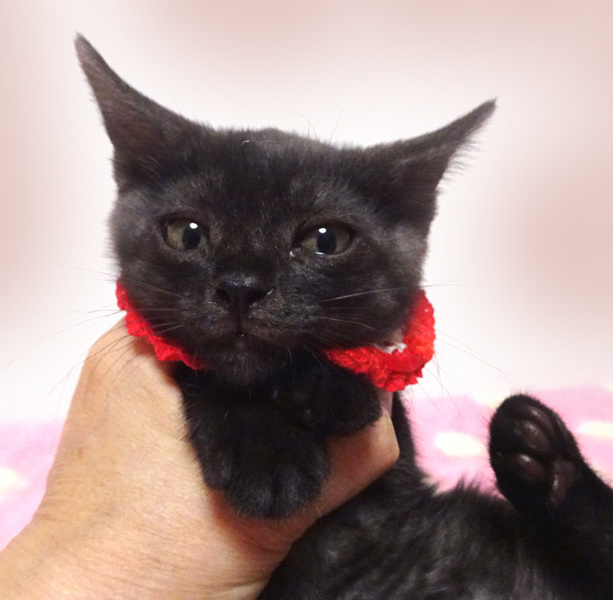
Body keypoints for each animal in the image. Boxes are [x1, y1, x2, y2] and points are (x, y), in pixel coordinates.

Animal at [76, 35, 613, 599]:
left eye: (325, 240)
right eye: (187, 233)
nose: (241, 286)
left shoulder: (397, 454)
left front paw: (331, 388)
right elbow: (204, 367)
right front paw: (268, 455)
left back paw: (540, 452)